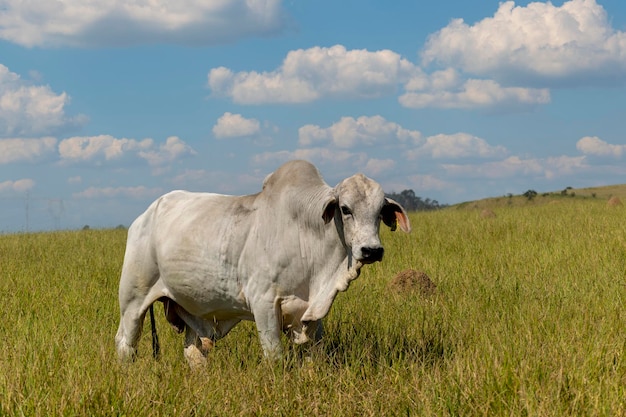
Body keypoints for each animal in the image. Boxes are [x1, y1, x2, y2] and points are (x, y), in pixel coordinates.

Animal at [114, 158, 410, 366]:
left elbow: (315, 354)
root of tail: (144, 215)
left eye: (380, 211)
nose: (371, 250)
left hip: (190, 308)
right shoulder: (264, 303)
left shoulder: (313, 311)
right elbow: (274, 355)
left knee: (193, 352)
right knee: (126, 342)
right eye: (346, 209)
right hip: (133, 299)